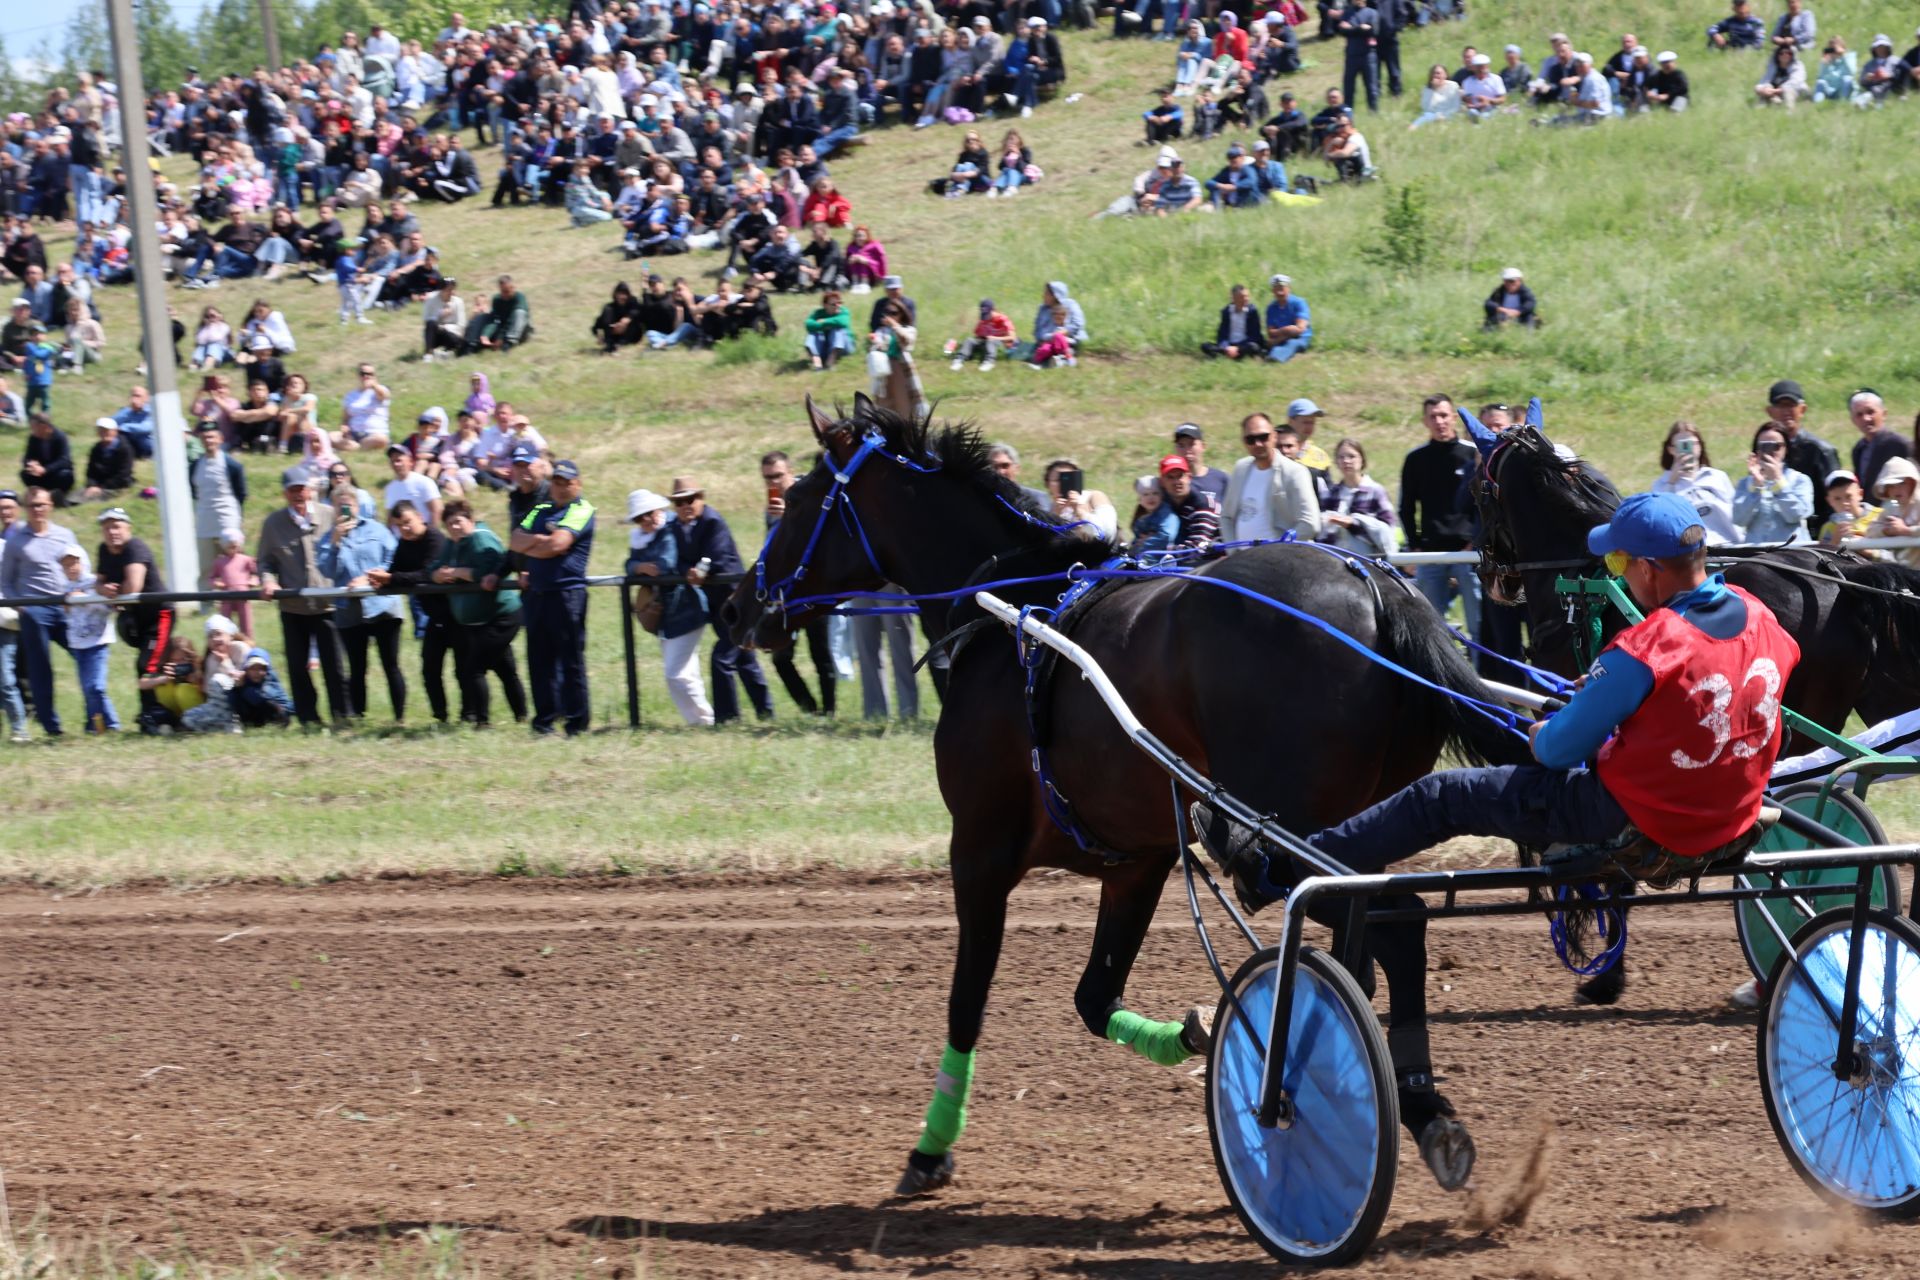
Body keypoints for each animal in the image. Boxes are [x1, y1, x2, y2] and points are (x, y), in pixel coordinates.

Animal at [721, 402, 1528, 1205]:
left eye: (796, 501)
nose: (733, 605)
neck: (1012, 609)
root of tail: (1371, 583)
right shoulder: (1136, 860)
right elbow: (1093, 995)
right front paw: (1194, 1031)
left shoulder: (978, 848)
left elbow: (967, 1000)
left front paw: (930, 1149)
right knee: (1390, 930)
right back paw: (1413, 1107)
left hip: (1285, 844)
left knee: (1396, 923)